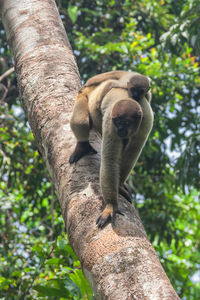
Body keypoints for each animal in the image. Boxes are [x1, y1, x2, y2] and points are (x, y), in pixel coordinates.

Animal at [69, 71, 153, 229]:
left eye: (126, 123)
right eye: (118, 122)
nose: (120, 129)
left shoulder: (146, 122)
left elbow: (131, 154)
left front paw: (119, 186)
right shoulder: (110, 123)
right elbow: (110, 160)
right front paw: (111, 206)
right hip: (84, 96)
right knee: (81, 121)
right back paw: (82, 147)